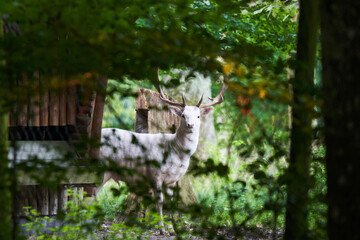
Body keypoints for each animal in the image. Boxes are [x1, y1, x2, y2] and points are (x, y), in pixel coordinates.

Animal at [94, 71, 226, 234]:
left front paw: (172, 229)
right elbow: (160, 202)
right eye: (183, 115)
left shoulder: (172, 180)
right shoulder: (154, 174)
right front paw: (162, 228)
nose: (191, 125)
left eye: (198, 116)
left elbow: (170, 202)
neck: (175, 153)